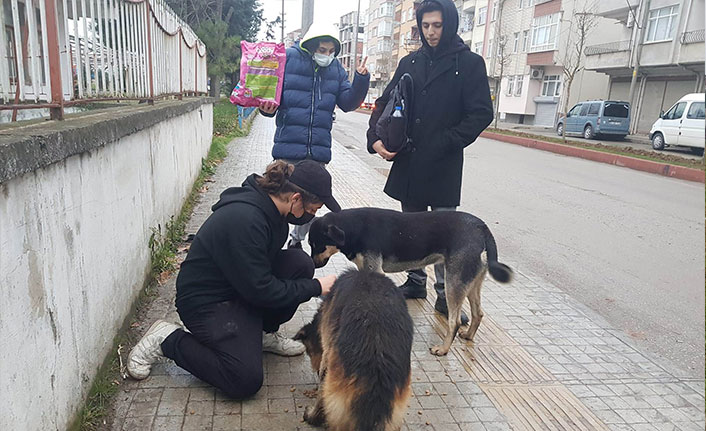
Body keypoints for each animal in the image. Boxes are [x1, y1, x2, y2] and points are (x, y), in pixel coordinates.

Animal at [308, 208, 512, 356]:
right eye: (310, 244)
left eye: (317, 245)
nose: (312, 265)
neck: (354, 228)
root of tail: (481, 226)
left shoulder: (375, 269)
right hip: (471, 282)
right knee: (478, 313)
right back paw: (468, 336)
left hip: (454, 281)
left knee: (454, 321)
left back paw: (443, 349)